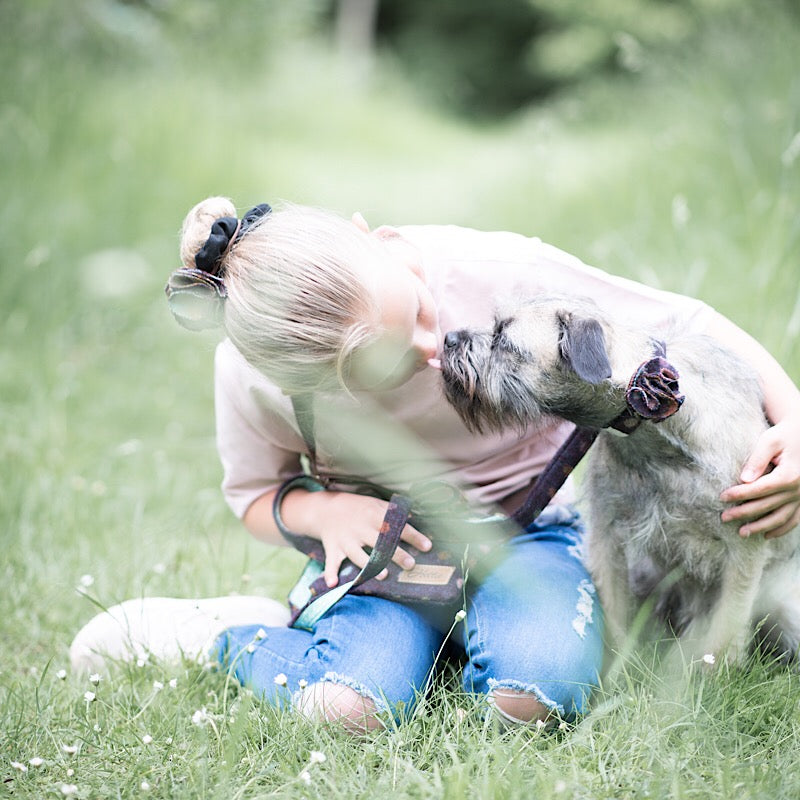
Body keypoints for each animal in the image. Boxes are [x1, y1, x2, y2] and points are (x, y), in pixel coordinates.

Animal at [440, 294, 800, 664]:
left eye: (503, 338)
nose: (449, 338)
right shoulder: (608, 537)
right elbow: (614, 613)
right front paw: (619, 665)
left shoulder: (743, 549)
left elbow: (725, 628)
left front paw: (710, 671)